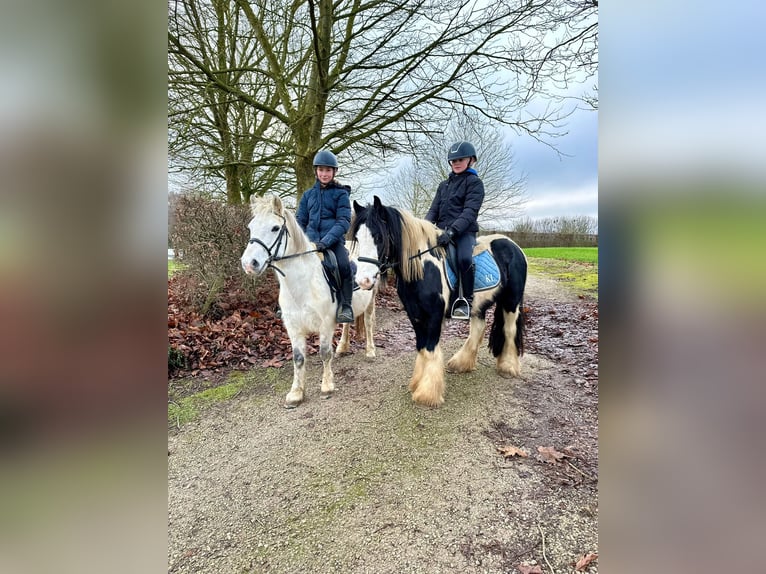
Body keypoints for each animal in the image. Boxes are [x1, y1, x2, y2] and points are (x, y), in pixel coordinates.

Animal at [242, 195, 380, 410]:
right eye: (251, 227)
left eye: (275, 228)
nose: (249, 264)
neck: (303, 285)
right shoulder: (294, 328)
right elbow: (298, 358)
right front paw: (296, 393)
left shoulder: (325, 324)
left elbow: (324, 353)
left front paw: (327, 385)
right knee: (347, 324)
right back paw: (343, 347)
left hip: (371, 296)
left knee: (368, 322)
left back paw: (370, 351)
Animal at [352, 198, 528, 410]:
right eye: (357, 238)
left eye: (379, 237)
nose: (363, 281)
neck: (422, 268)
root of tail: (513, 245)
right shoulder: (415, 315)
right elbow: (421, 348)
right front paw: (417, 384)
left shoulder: (434, 315)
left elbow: (430, 349)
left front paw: (427, 394)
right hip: (478, 305)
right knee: (478, 328)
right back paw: (461, 363)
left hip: (511, 300)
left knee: (509, 330)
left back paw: (508, 367)